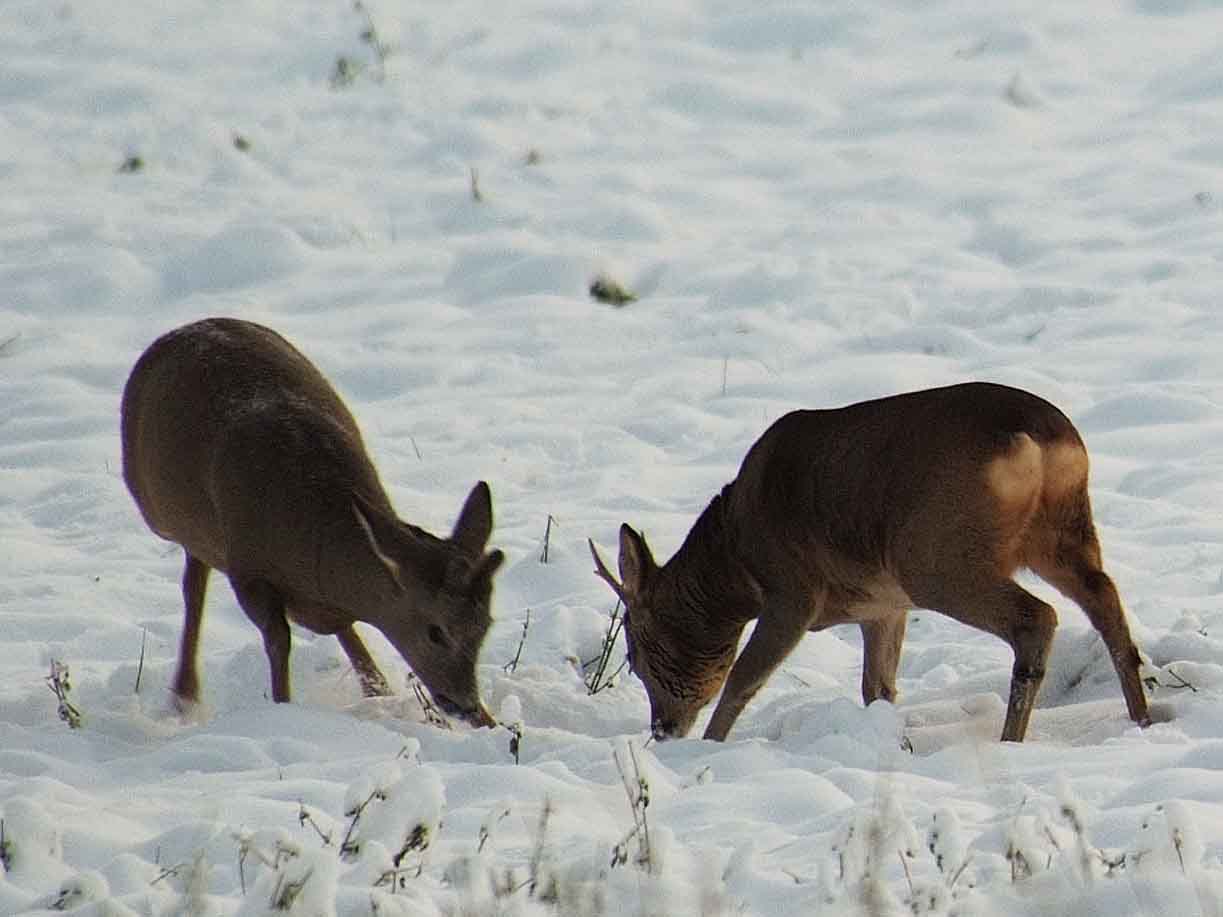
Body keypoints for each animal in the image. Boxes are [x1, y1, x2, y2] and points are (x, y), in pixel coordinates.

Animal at [121, 320, 503, 728]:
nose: (467, 706)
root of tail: (180, 331)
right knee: (194, 583)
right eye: (435, 632)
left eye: (485, 625)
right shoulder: (247, 567)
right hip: (171, 518)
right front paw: (283, 708)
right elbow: (278, 639)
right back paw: (184, 698)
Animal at [591, 381, 1144, 748]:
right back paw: (1142, 718)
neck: (736, 557)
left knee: (1038, 616)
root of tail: (1038, 440)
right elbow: (878, 687)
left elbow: (745, 677)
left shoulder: (792, 591)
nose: (663, 729)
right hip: (1064, 534)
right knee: (1105, 600)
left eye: (637, 654)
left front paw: (710, 747)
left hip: (936, 557)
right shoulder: (882, 606)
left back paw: (1011, 739)